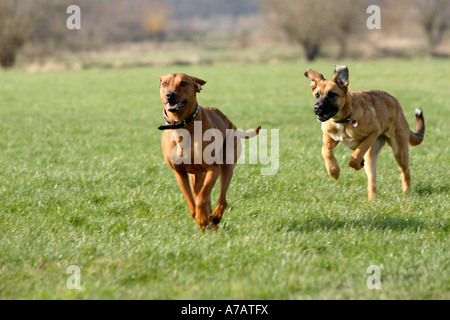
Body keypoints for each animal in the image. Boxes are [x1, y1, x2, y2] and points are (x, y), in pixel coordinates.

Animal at [159, 73, 260, 228]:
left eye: (183, 83)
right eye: (164, 83)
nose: (170, 95)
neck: (181, 126)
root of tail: (230, 122)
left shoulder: (213, 169)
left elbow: (201, 198)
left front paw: (202, 218)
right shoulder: (180, 172)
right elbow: (192, 201)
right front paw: (199, 217)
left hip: (226, 166)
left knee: (221, 198)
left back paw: (216, 217)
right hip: (197, 176)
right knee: (202, 194)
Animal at [304, 64, 424, 200]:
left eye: (332, 94)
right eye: (317, 95)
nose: (317, 108)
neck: (345, 119)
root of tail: (396, 103)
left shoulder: (372, 133)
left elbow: (354, 157)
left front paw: (354, 164)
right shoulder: (329, 136)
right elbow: (325, 150)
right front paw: (333, 170)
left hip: (398, 150)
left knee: (405, 170)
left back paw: (406, 192)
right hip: (372, 157)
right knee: (372, 180)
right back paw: (371, 199)